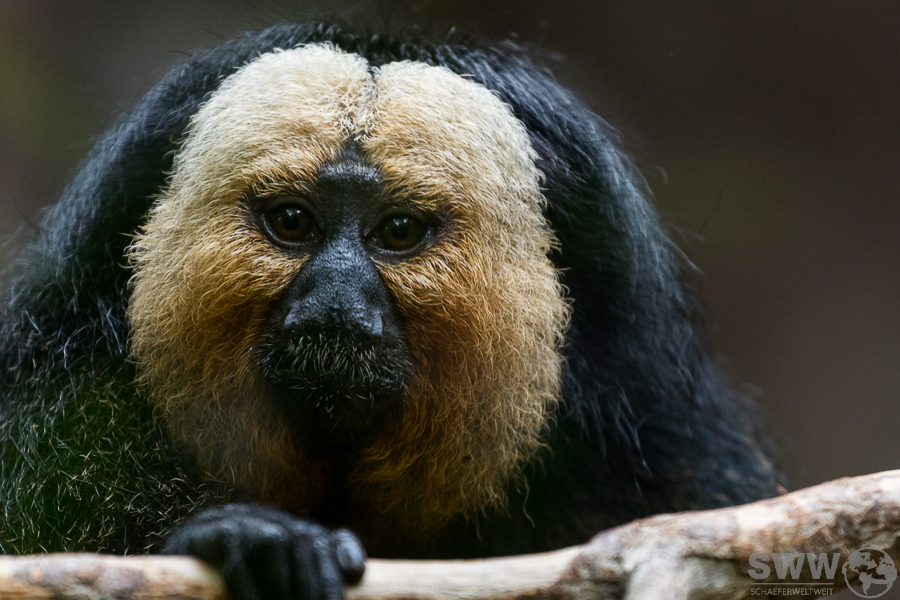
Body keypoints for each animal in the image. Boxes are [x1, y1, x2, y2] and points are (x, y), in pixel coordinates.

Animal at [0, 21, 782, 600]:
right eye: (292, 222)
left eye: (399, 232)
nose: (335, 299)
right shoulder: (61, 411)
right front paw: (247, 543)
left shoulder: (653, 459)